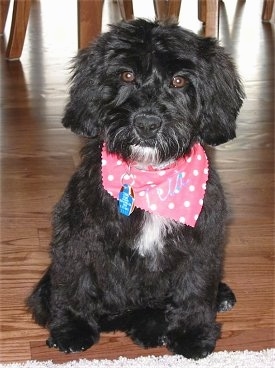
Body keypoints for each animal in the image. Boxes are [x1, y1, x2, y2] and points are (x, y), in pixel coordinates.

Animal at [27, 19, 245, 360]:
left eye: (179, 80)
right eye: (127, 75)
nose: (146, 124)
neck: (149, 181)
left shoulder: (202, 240)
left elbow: (194, 288)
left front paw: (192, 334)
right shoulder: (76, 235)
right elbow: (74, 282)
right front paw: (72, 329)